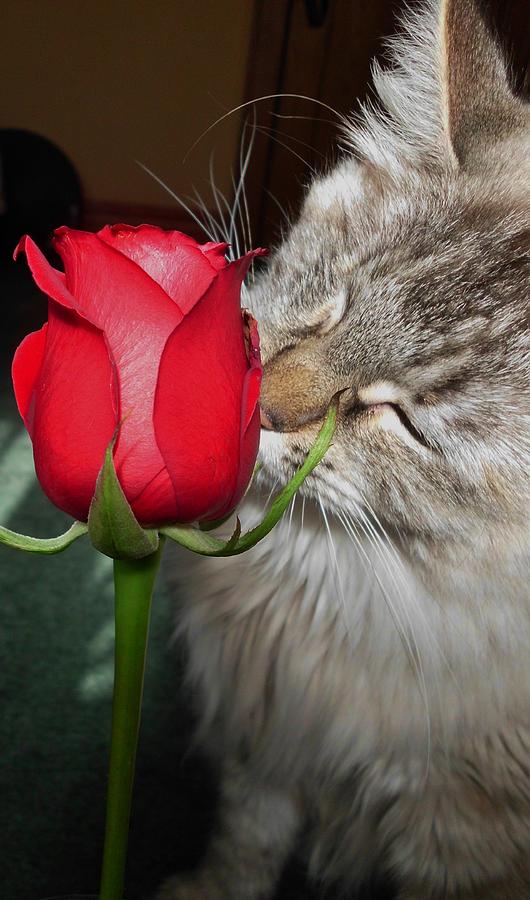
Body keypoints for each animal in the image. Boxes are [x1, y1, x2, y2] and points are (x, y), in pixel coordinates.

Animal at [155, 1, 524, 900]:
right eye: (332, 302)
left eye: (411, 420)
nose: (263, 410)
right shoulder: (267, 737)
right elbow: (246, 841)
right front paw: (209, 889)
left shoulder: (457, 836)